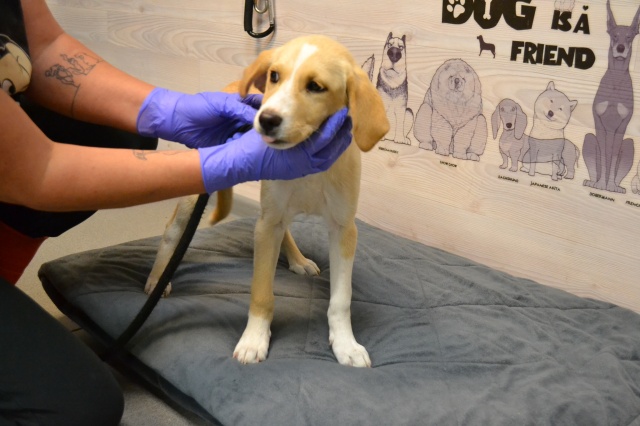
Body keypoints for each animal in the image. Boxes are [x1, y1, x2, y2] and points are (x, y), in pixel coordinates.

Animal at [145, 35, 389, 367]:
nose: (266, 119)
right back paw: (157, 278)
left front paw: (346, 344)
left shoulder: (343, 228)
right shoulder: (267, 224)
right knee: (171, 231)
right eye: (275, 76)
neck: (305, 155)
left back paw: (298, 260)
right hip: (199, 189)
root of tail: (232, 85)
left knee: (282, 229)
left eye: (316, 86)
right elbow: (261, 293)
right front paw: (254, 340)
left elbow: (341, 299)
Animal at [583, 0, 640, 193]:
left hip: (630, 145)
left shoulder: (622, 125)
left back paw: (616, 187)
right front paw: (601, 184)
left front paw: (610, 185)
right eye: (614, 36)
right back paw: (594, 182)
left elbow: (613, 157)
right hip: (588, 138)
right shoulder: (598, 122)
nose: (620, 48)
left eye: (629, 37)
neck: (616, 80)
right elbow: (603, 155)